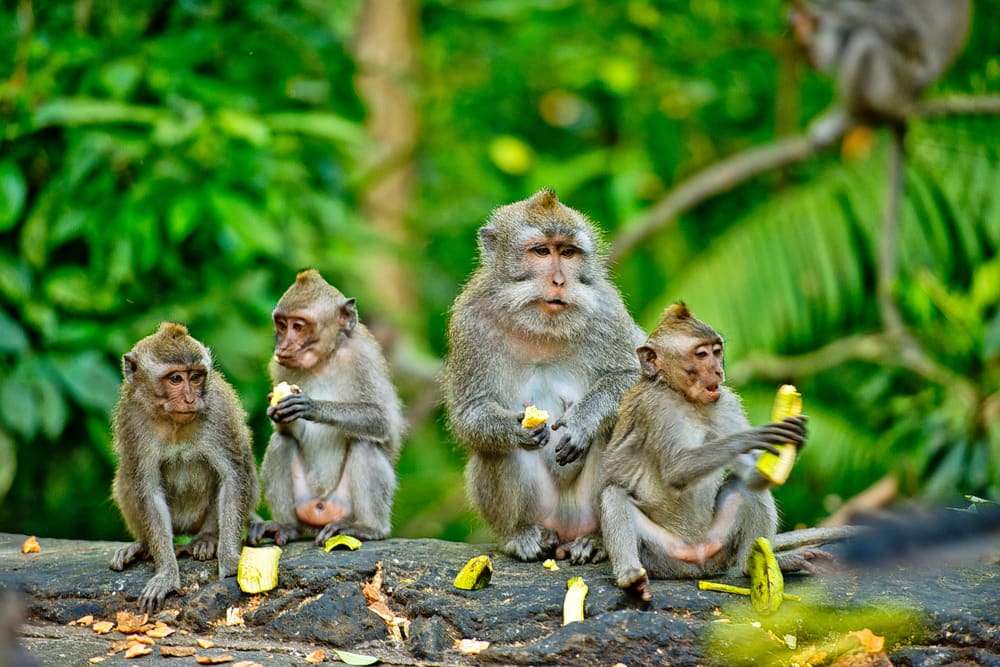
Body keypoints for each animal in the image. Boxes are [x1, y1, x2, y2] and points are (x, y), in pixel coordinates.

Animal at [110, 323, 258, 613]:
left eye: (196, 377)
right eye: (176, 379)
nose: (190, 399)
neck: (171, 421)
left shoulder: (218, 410)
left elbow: (233, 477)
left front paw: (229, 559)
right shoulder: (132, 418)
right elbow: (148, 490)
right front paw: (166, 573)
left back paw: (207, 539)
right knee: (126, 477)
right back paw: (142, 545)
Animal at [248, 270, 404, 547]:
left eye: (299, 326)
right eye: (282, 325)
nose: (283, 346)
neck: (324, 360)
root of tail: (321, 509)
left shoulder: (362, 357)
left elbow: (381, 420)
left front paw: (311, 406)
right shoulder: (279, 367)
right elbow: (285, 432)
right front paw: (278, 414)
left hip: (344, 505)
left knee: (364, 442)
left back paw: (368, 528)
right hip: (305, 503)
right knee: (281, 442)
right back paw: (287, 527)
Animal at [443, 189, 645, 564]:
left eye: (567, 253)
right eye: (541, 251)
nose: (559, 281)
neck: (541, 328)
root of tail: (565, 529)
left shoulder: (607, 310)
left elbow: (632, 377)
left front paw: (582, 422)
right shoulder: (469, 322)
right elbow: (470, 413)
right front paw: (515, 428)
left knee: (616, 429)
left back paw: (597, 539)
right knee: (492, 449)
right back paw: (520, 535)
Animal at [600, 304, 828, 602]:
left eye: (717, 351)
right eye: (701, 354)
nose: (718, 371)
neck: (685, 397)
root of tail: (696, 559)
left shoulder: (726, 402)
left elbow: (752, 478)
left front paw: (795, 438)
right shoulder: (656, 407)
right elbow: (676, 469)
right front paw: (753, 437)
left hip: (719, 544)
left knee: (744, 488)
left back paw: (751, 566)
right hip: (661, 555)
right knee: (614, 495)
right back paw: (631, 578)